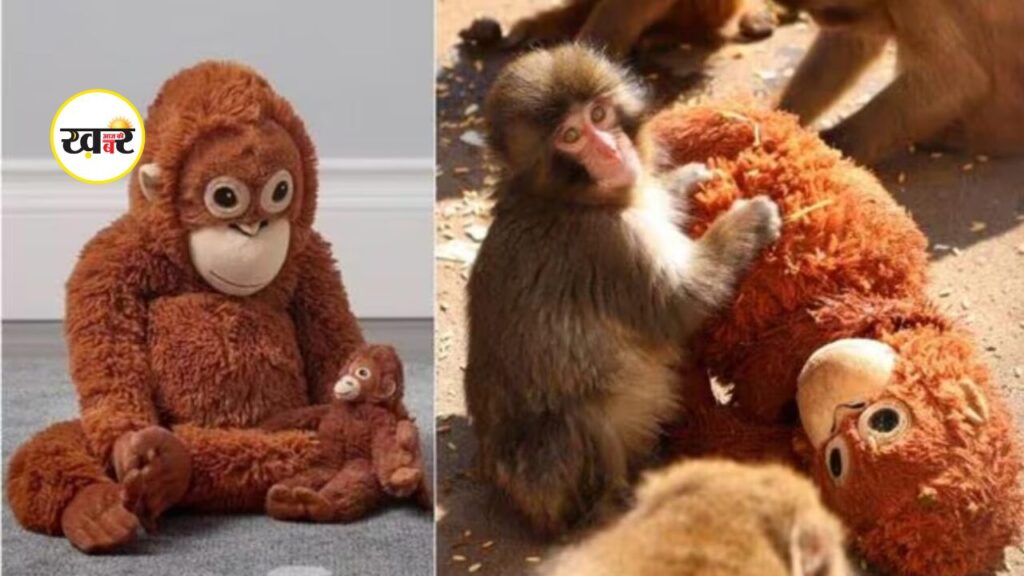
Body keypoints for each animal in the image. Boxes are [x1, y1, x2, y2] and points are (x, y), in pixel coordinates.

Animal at [465, 45, 782, 536]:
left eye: (599, 114)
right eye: (571, 135)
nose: (611, 150)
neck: (567, 199)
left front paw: (684, 180)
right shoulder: (608, 244)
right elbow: (679, 304)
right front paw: (747, 221)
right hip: (545, 483)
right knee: (578, 419)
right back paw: (614, 505)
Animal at [776, 0, 1024, 164]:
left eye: (826, 10)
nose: (821, 19)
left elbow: (959, 79)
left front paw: (829, 150)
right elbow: (853, 41)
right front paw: (781, 117)